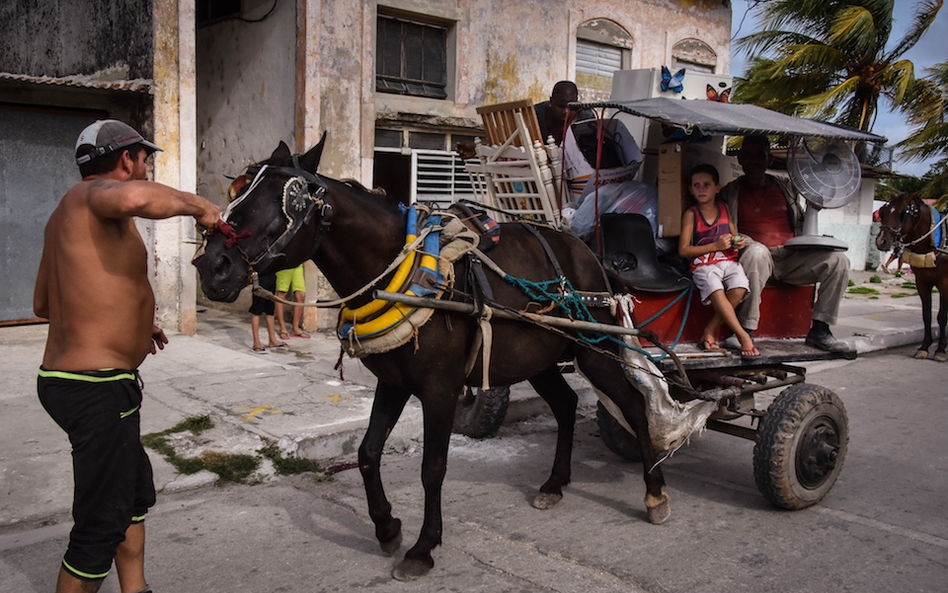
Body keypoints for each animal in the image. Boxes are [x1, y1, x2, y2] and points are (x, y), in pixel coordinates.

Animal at [193, 140, 668, 580]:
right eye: (237, 192)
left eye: (285, 200)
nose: (211, 266)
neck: (398, 268)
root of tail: (589, 255)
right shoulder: (393, 383)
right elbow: (367, 453)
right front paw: (387, 527)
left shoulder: (440, 390)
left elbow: (432, 467)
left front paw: (423, 547)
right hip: (538, 358)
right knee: (567, 405)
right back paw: (554, 483)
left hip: (595, 351)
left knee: (633, 405)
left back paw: (655, 492)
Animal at [872, 194, 948, 360]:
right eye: (884, 211)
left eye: (904, 213)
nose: (881, 241)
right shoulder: (922, 282)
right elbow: (926, 315)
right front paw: (924, 347)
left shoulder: (945, 284)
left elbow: (942, 316)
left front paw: (940, 350)